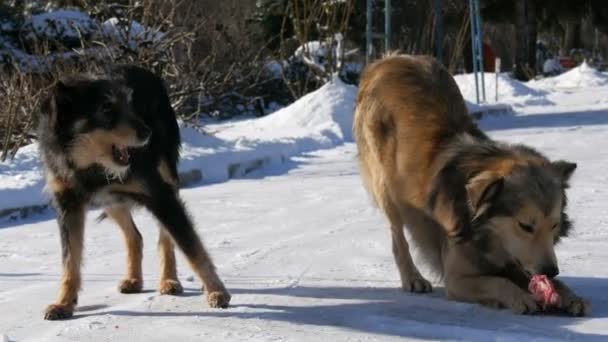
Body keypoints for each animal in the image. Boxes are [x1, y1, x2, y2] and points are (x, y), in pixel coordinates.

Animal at [36, 65, 230, 320]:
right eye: (106, 109)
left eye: (128, 105)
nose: (148, 132)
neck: (87, 165)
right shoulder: (68, 205)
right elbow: (70, 261)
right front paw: (63, 303)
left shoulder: (159, 195)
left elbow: (192, 248)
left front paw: (217, 291)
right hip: (110, 200)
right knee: (134, 236)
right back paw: (134, 279)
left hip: (165, 179)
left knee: (165, 237)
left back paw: (169, 280)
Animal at [354, 53, 592, 316]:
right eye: (525, 226)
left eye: (554, 225)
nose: (551, 271)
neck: (482, 229)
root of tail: (389, 59)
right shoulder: (457, 278)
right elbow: (497, 281)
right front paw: (521, 297)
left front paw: (569, 294)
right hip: (386, 187)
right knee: (398, 237)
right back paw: (412, 278)